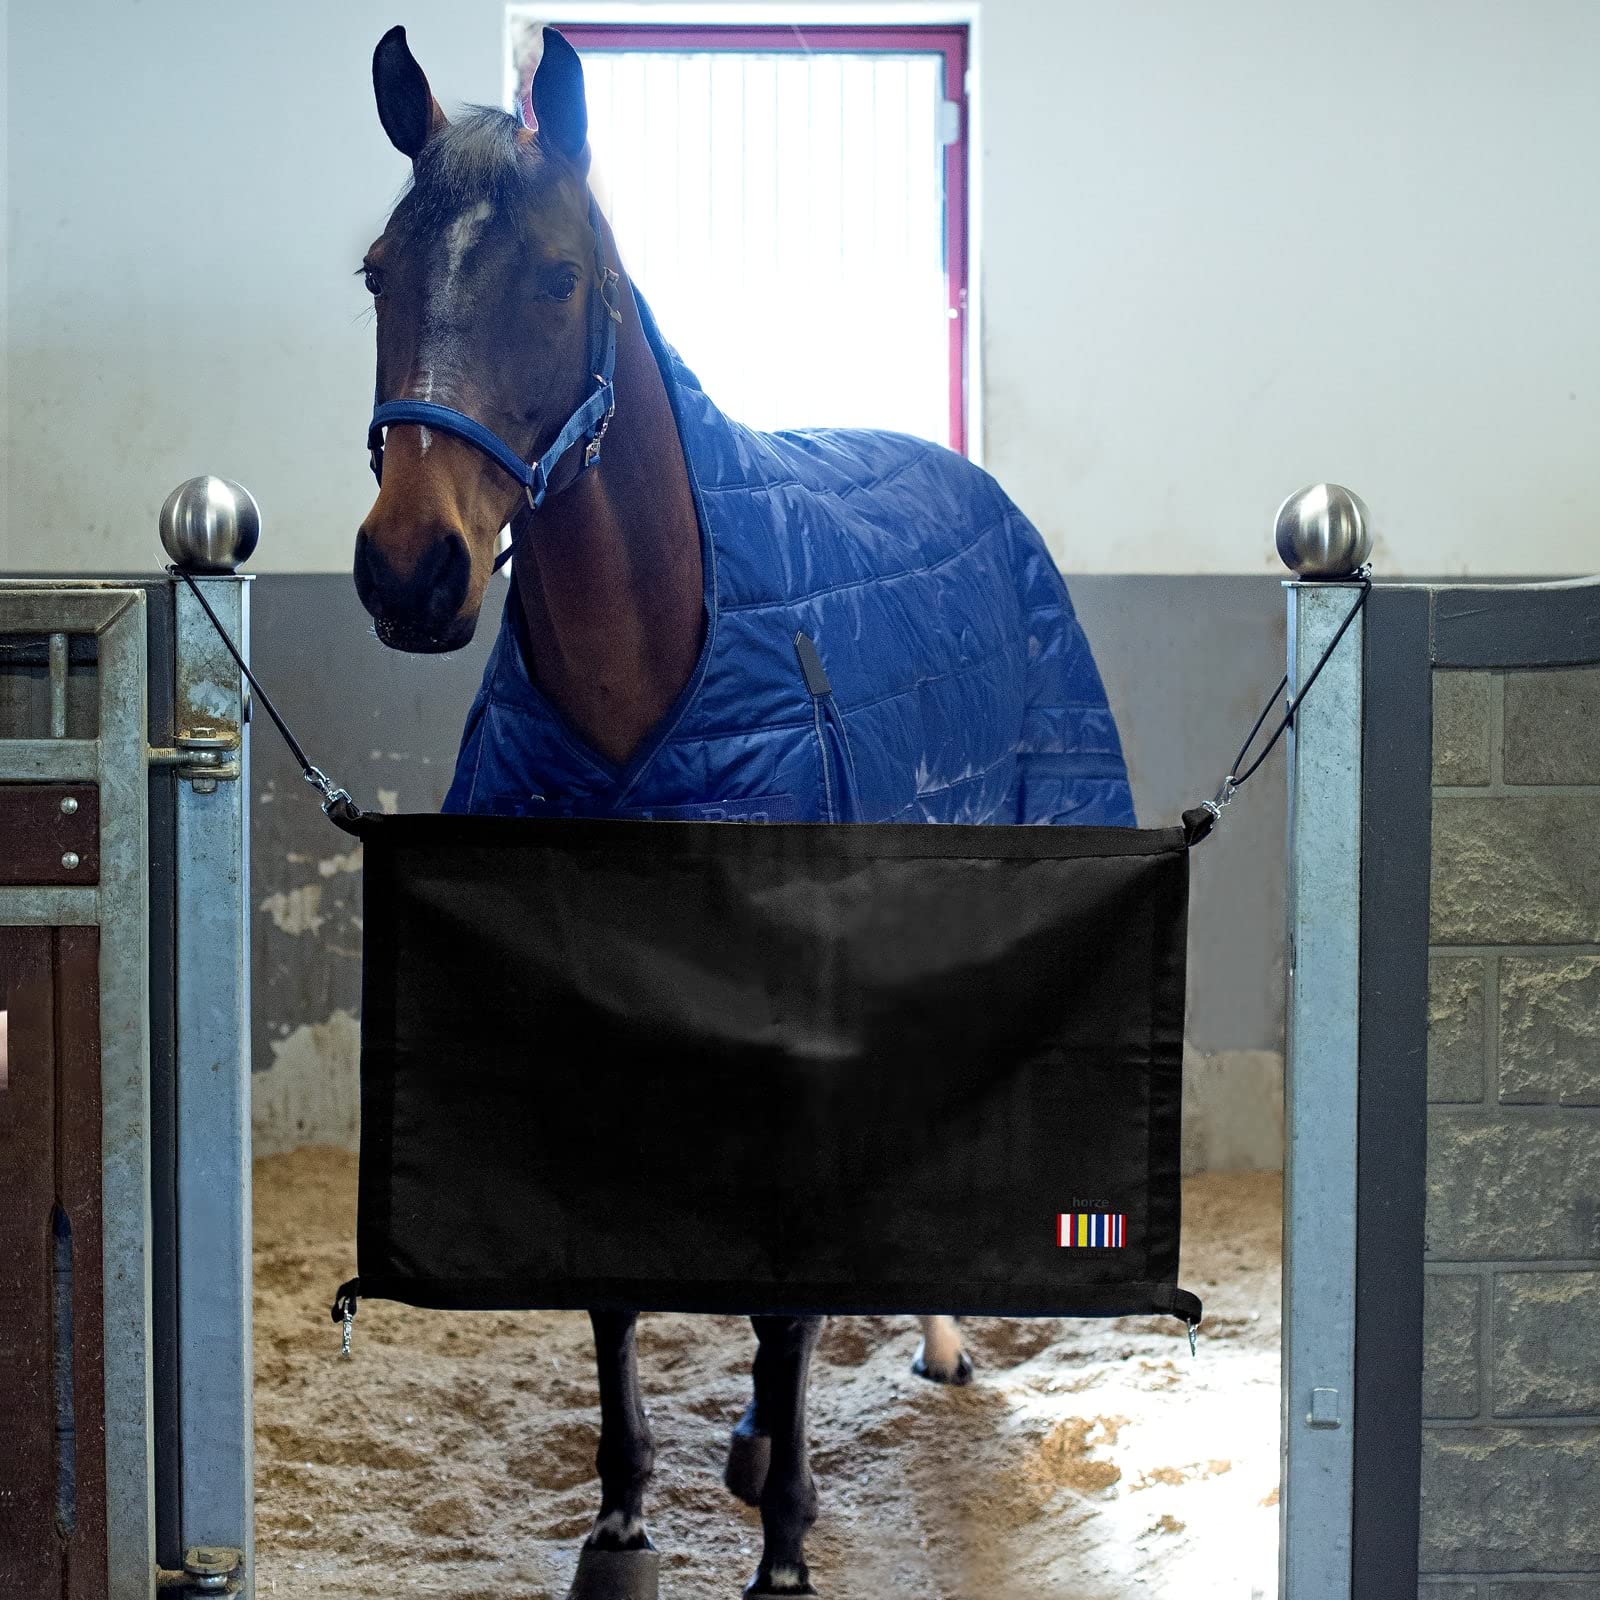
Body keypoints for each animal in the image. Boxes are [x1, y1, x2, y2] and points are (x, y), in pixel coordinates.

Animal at [353, 25, 1134, 1599]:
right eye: (377, 274)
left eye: (560, 279)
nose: (411, 568)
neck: (651, 699)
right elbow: (614, 1285)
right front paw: (626, 1514)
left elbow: (782, 1306)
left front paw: (782, 1547)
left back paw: (922, 1351)